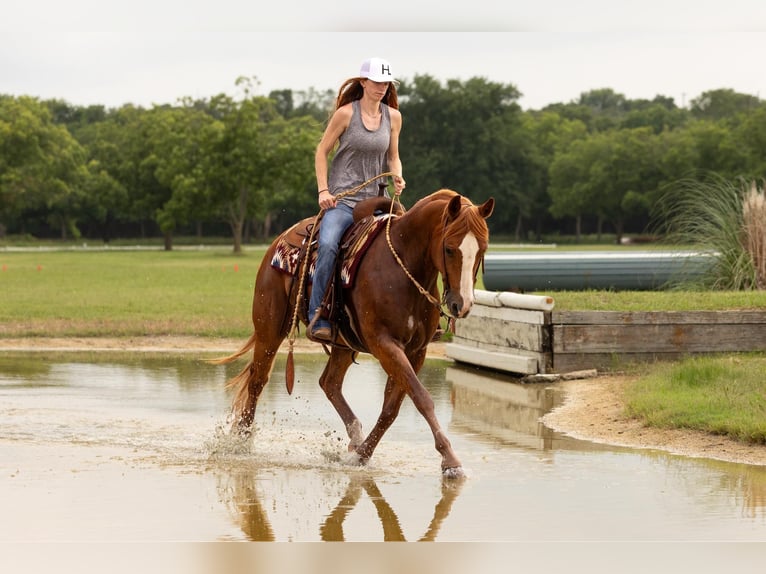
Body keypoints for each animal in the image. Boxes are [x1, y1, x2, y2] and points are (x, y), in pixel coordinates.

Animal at [211, 188, 494, 478]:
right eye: (449, 248)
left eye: (482, 249)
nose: (463, 304)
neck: (404, 265)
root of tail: (279, 241)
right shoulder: (384, 345)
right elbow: (421, 397)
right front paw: (450, 460)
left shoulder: (416, 351)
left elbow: (392, 407)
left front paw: (362, 454)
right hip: (269, 328)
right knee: (258, 380)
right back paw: (241, 440)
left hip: (344, 344)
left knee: (329, 382)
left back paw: (355, 437)